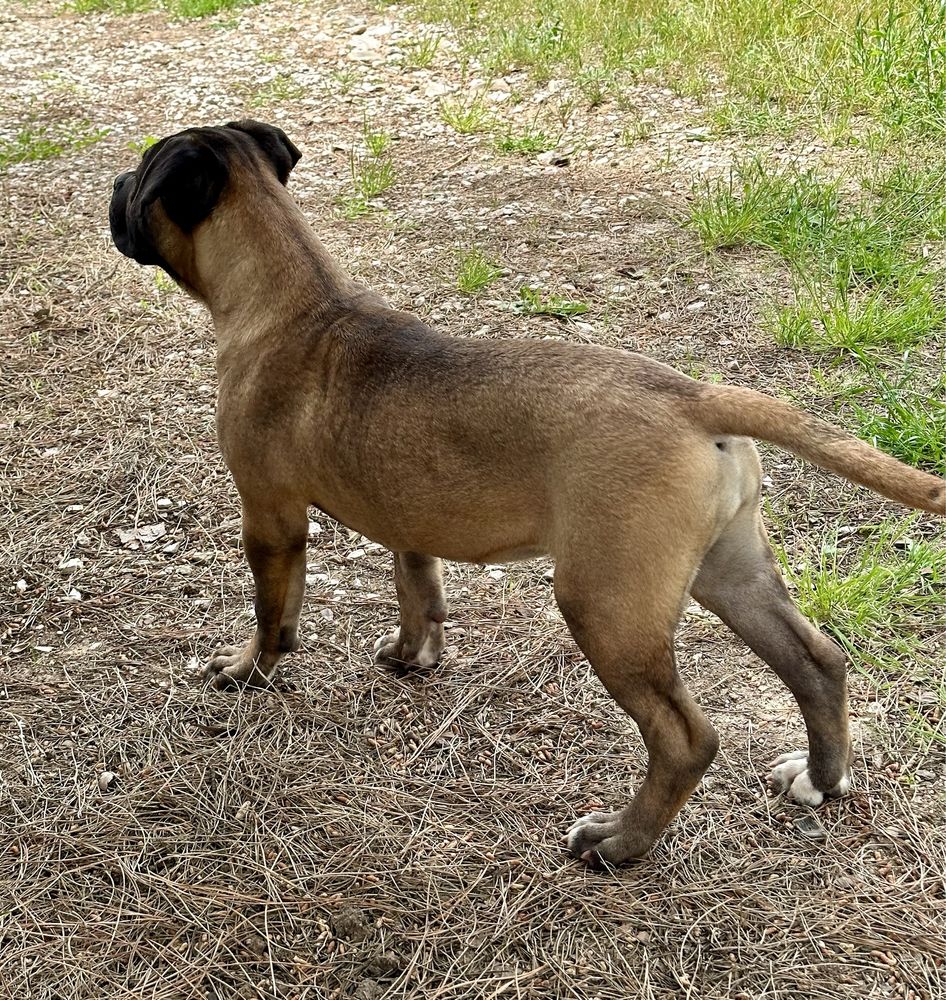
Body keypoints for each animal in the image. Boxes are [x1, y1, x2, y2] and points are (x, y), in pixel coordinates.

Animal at [109, 121, 936, 864]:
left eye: (141, 177)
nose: (113, 186)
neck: (292, 294)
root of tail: (696, 399)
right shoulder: (409, 518)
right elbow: (418, 587)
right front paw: (413, 655)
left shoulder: (270, 517)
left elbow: (273, 615)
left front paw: (246, 671)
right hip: (729, 574)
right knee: (818, 663)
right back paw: (821, 779)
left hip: (606, 606)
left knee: (686, 738)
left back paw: (619, 842)